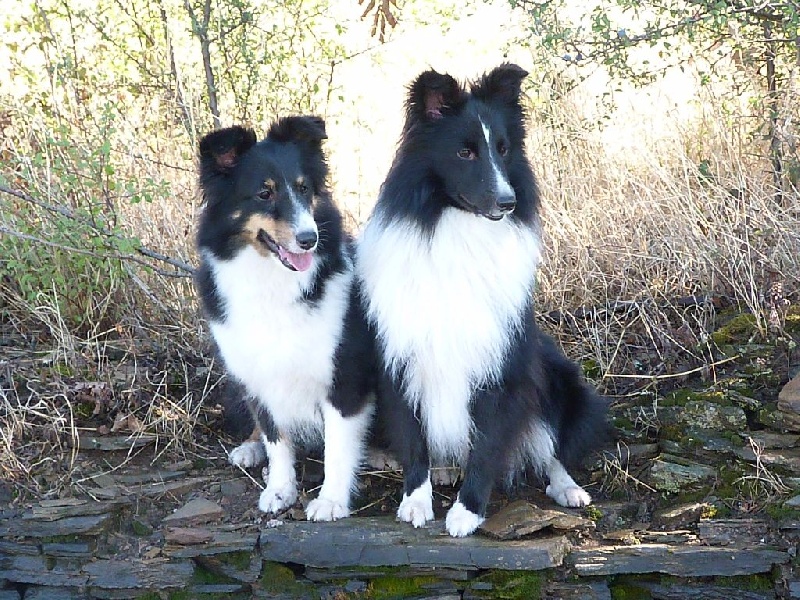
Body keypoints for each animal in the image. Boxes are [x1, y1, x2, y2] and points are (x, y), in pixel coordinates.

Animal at [195, 116, 374, 520]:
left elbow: (337, 446)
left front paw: (331, 500)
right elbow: (276, 437)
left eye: (304, 188)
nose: (309, 238)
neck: (271, 280)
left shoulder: (342, 378)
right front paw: (279, 489)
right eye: (264, 194)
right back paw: (249, 447)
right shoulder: (258, 374)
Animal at [356, 63, 608, 536]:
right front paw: (415, 502)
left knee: (551, 447)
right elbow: (414, 440)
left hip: (559, 377)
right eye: (465, 153)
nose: (508, 202)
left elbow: (489, 444)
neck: (458, 227)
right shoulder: (400, 356)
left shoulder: (500, 362)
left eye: (504, 150)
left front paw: (466, 513)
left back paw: (568, 489)